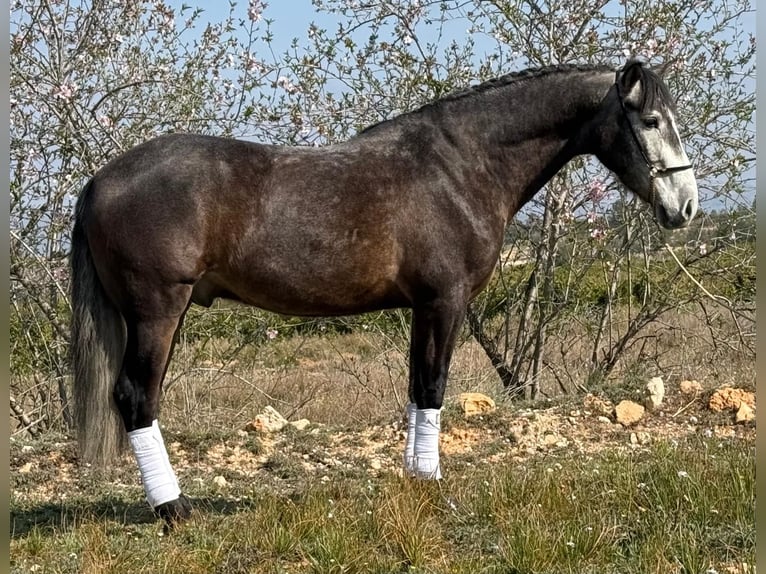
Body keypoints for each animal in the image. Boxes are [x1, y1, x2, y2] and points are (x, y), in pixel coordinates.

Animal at [69, 59, 700, 532]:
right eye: (650, 119)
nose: (687, 206)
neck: (460, 166)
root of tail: (100, 180)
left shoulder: (426, 305)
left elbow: (417, 389)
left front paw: (415, 482)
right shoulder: (445, 300)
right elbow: (433, 387)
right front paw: (433, 488)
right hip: (156, 310)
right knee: (135, 397)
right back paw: (174, 509)